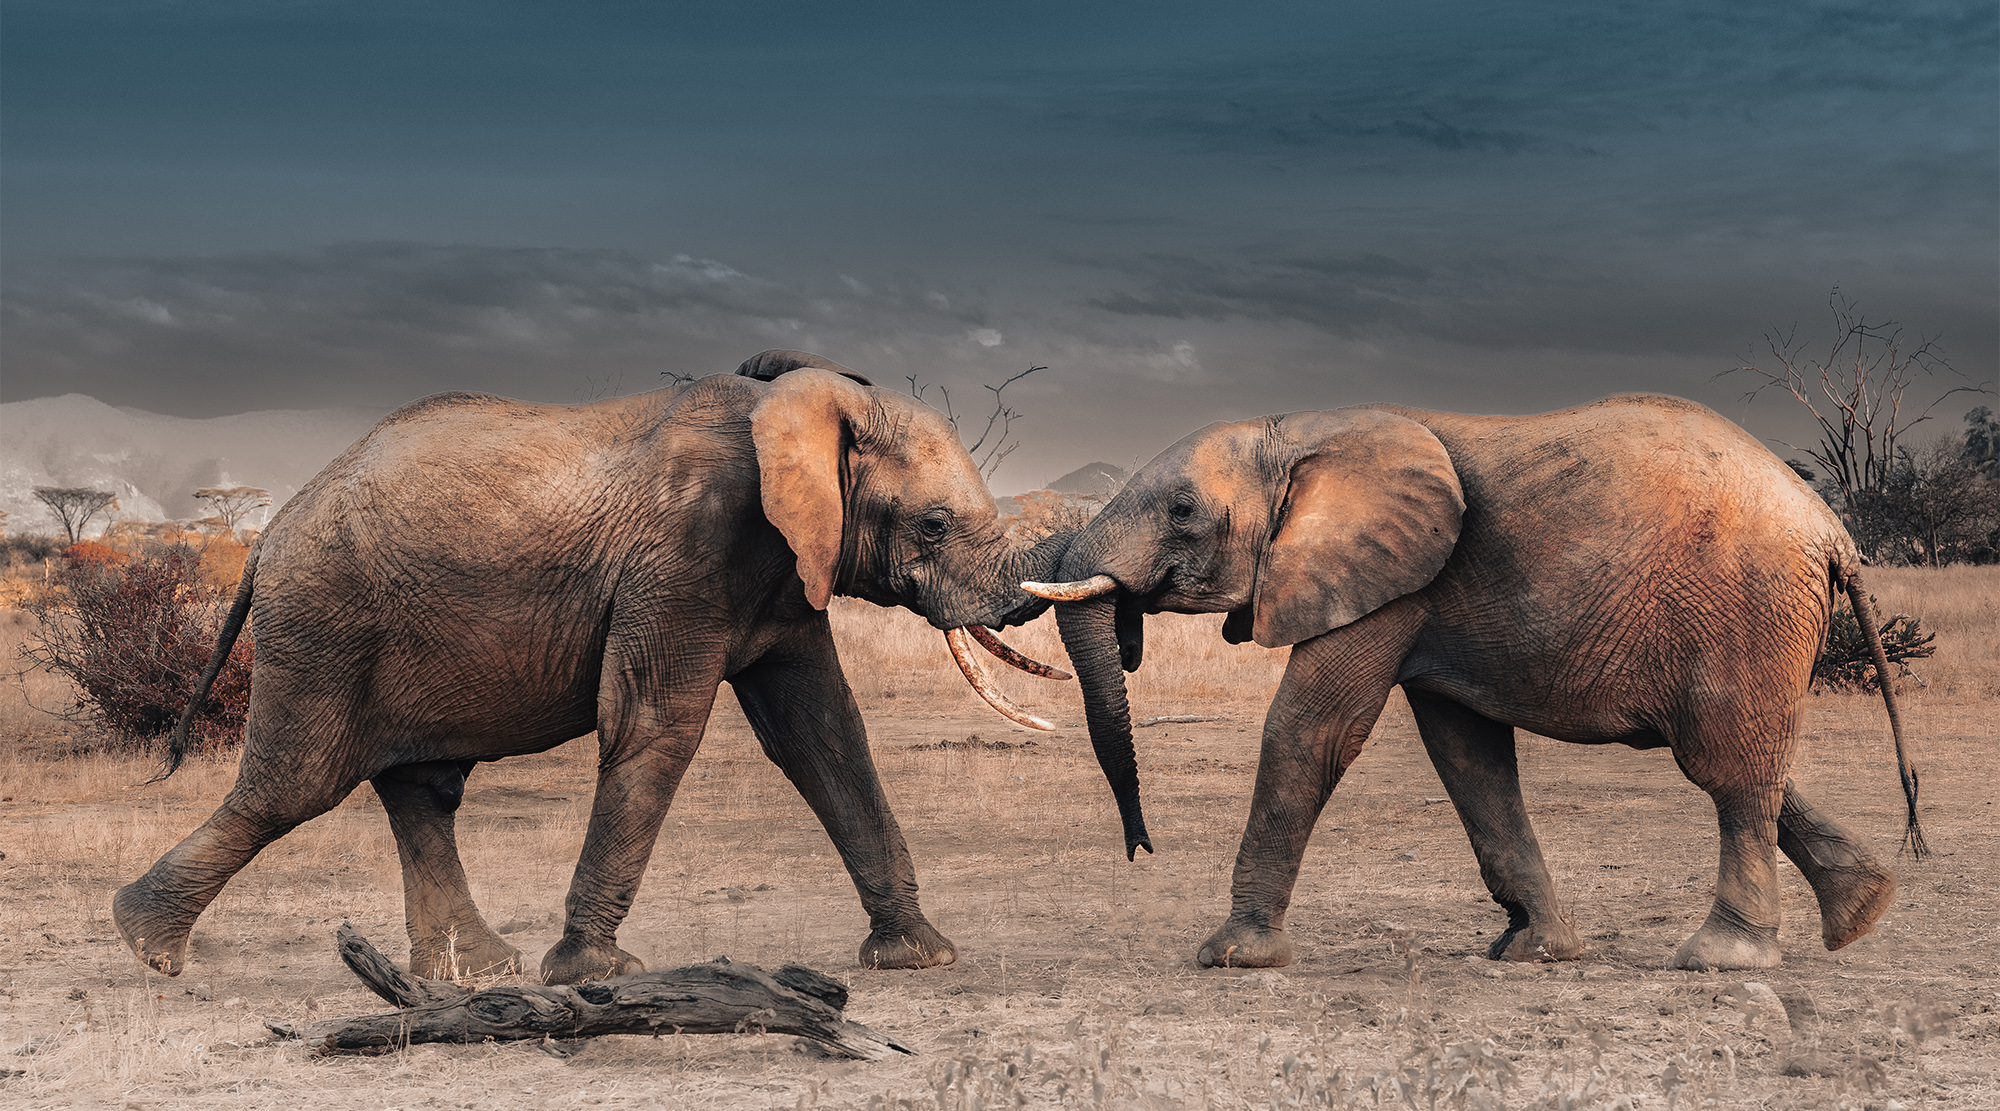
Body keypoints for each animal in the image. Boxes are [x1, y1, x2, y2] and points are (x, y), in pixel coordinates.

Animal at [114, 351, 1074, 985]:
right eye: (934, 525)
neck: (796, 403)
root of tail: (268, 534)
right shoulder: (688, 553)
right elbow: (658, 725)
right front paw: (591, 973)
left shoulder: (783, 569)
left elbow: (824, 733)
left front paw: (920, 957)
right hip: (323, 624)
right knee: (294, 787)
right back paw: (146, 946)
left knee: (420, 789)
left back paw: (476, 974)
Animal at [1029, 393, 1924, 972]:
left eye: (1182, 509)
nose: (1142, 847)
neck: (1298, 432)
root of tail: (1832, 529)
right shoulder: (1421, 596)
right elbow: (1468, 756)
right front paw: (1534, 950)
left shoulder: (1387, 581)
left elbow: (1310, 731)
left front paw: (1231, 956)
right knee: (1752, 764)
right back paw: (1864, 912)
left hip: (1747, 604)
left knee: (1728, 771)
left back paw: (1722, 959)